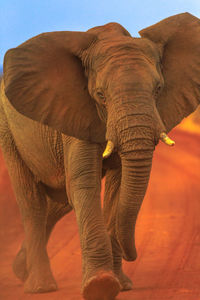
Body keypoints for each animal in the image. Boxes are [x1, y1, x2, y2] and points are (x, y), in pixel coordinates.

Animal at [0, 12, 200, 300]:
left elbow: (118, 186)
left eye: (158, 89)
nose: (132, 254)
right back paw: (39, 286)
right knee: (33, 203)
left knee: (60, 201)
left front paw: (121, 285)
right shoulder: (76, 109)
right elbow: (85, 184)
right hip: (9, 132)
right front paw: (101, 286)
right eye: (100, 95)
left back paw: (20, 270)